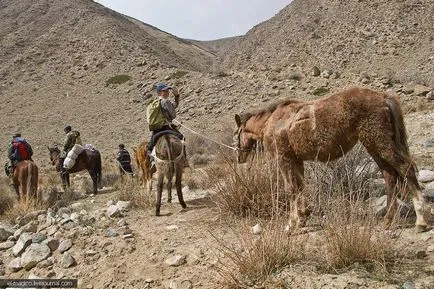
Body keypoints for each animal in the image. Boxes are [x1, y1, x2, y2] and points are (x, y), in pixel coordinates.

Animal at [234, 85, 428, 232]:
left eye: (236, 134)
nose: (239, 157)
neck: (274, 121)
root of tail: (383, 98)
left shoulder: (284, 159)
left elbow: (291, 189)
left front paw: (291, 224)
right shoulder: (296, 161)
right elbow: (300, 187)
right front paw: (303, 218)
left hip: (379, 142)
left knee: (406, 169)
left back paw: (421, 221)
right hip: (373, 146)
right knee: (390, 176)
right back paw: (388, 220)